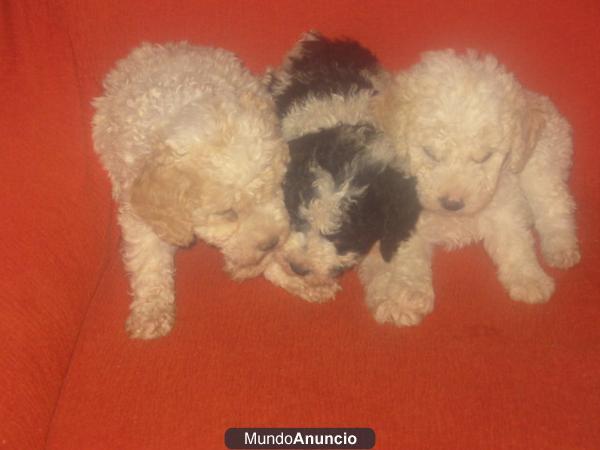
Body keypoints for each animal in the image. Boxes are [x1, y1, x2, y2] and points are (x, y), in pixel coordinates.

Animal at [93, 43, 288, 338]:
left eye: (272, 188)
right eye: (228, 213)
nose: (273, 242)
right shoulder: (142, 214)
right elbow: (149, 259)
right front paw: (152, 311)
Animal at [360, 50, 580, 326]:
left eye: (484, 157)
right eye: (430, 153)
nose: (452, 203)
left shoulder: (503, 201)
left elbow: (515, 241)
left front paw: (529, 278)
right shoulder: (401, 216)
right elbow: (408, 256)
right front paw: (409, 292)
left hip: (542, 162)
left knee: (553, 206)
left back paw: (561, 246)